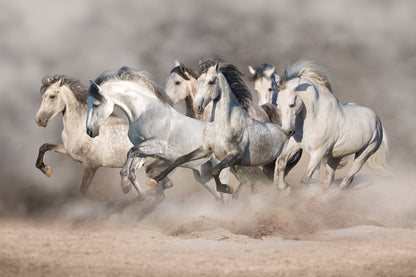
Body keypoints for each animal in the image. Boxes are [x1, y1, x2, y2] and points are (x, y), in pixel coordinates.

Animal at [34, 74, 172, 195]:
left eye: (52, 96)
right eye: (43, 96)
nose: (39, 120)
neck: (79, 127)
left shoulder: (91, 166)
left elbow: (84, 190)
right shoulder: (68, 151)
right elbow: (44, 146)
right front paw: (46, 170)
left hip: (151, 168)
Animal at [85, 67, 234, 201]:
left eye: (96, 104)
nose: (90, 131)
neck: (146, 112)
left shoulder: (158, 146)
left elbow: (131, 152)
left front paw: (125, 186)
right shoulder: (144, 150)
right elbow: (132, 167)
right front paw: (141, 195)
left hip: (220, 172)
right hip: (204, 177)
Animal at [147, 60, 300, 194]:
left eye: (210, 82)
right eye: (199, 81)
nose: (198, 106)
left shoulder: (234, 156)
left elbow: (216, 170)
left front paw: (226, 188)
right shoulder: (205, 149)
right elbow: (180, 159)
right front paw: (155, 180)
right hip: (270, 167)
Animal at [276, 59, 390, 190]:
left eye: (291, 104)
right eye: (278, 104)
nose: (287, 131)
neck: (315, 119)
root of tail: (377, 121)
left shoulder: (318, 153)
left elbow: (305, 179)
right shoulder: (296, 144)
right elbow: (281, 161)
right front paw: (284, 187)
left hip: (364, 154)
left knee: (348, 178)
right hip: (336, 156)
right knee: (330, 178)